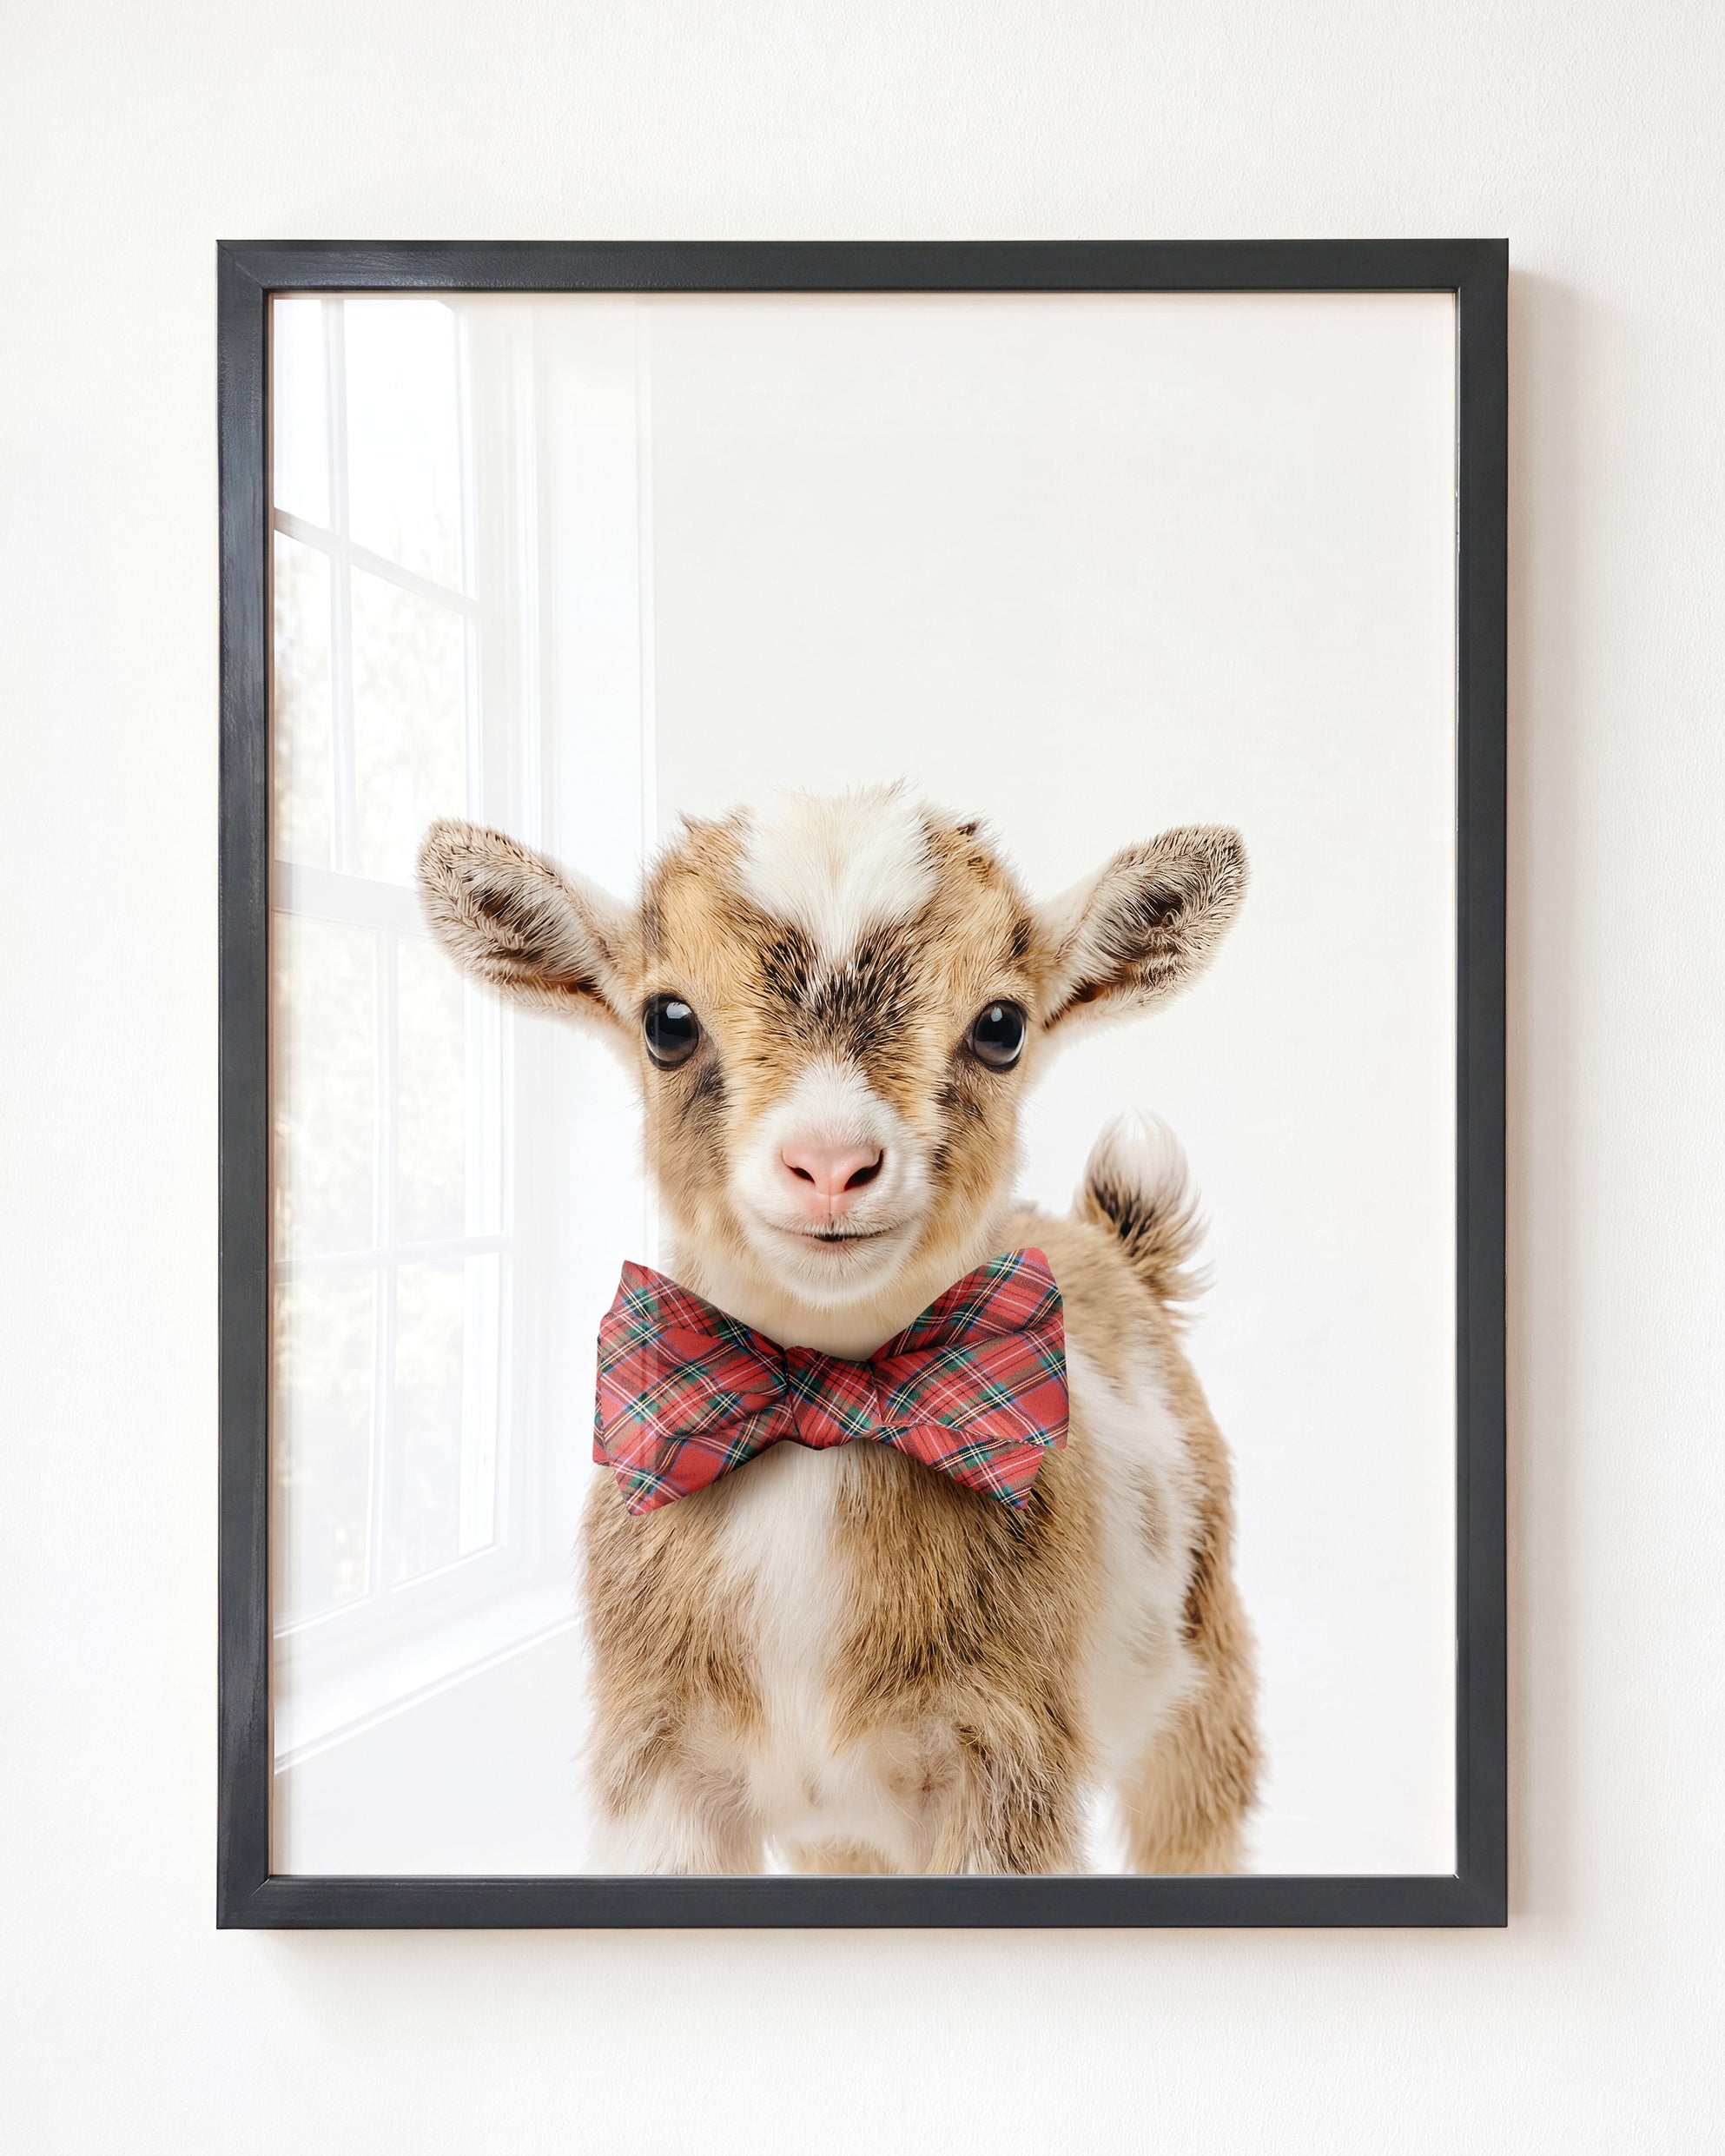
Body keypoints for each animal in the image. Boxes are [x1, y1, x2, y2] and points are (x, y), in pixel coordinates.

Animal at [418, 784, 1259, 1873]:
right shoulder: (658, 1765)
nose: (829, 1163)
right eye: (667, 1021)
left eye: (1001, 1025)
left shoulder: (1007, 1763)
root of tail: (1115, 1245)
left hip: (1205, 1673)